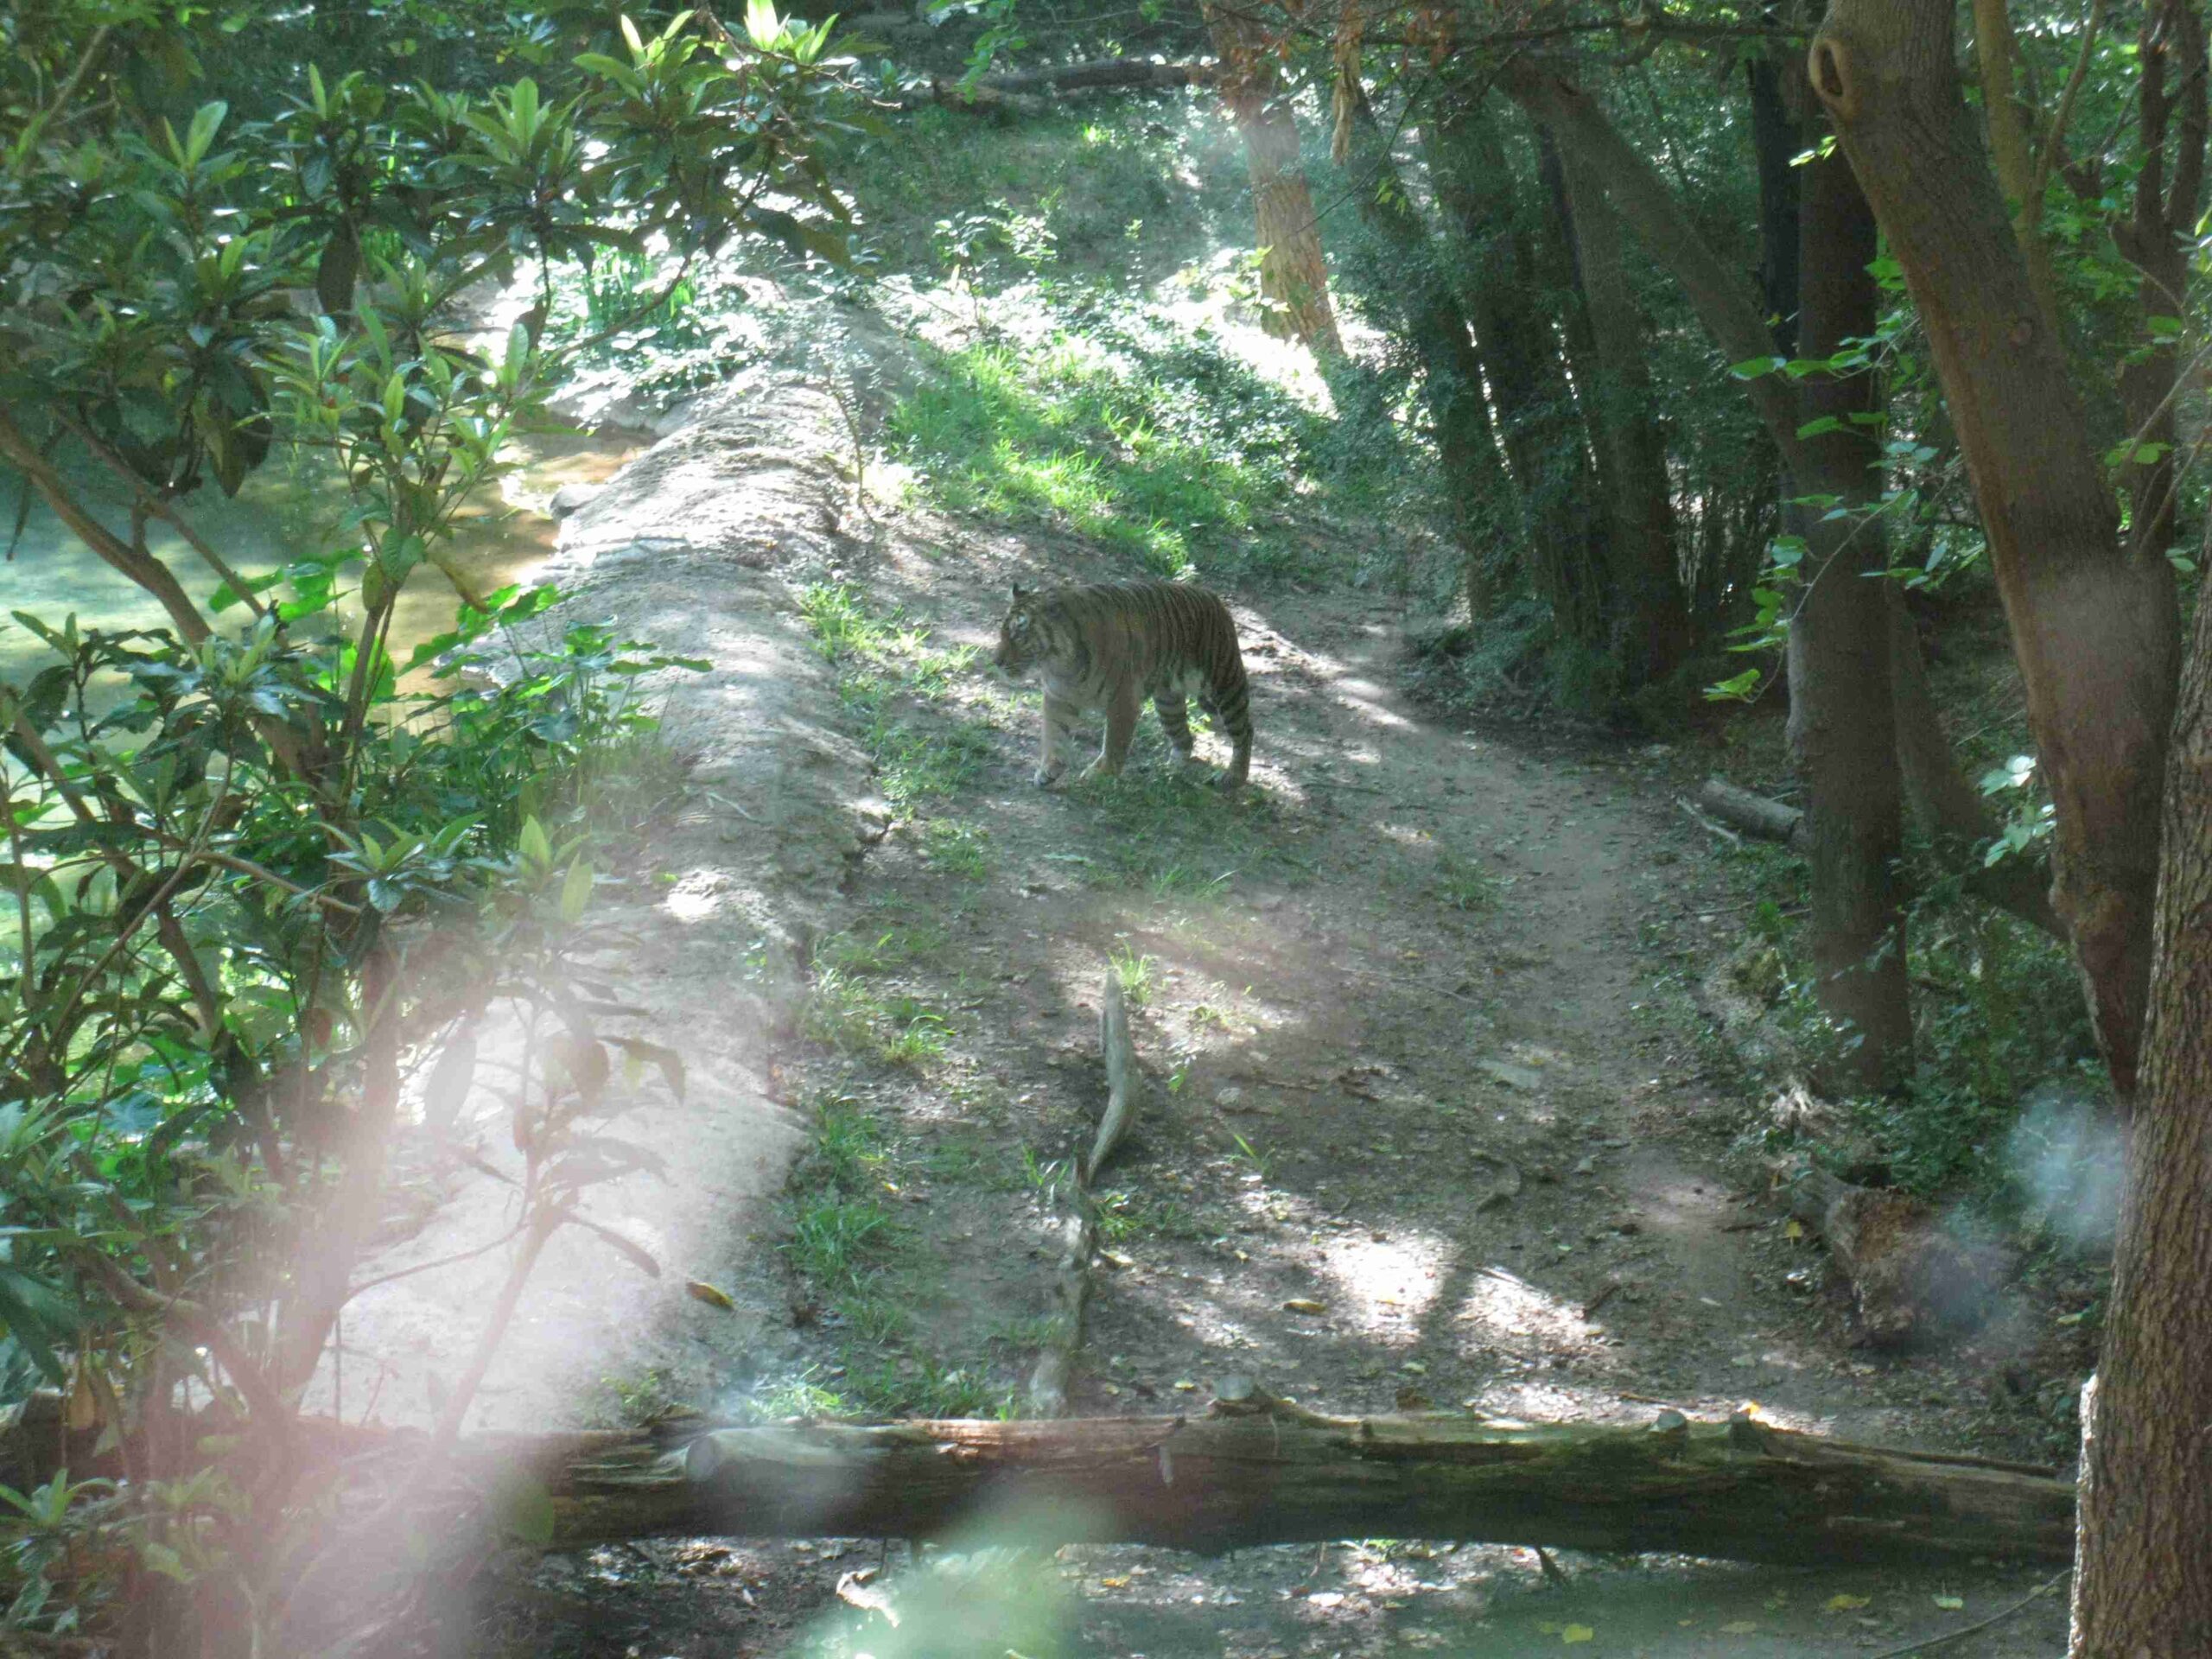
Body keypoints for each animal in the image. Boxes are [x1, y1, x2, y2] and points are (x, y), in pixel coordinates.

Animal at [995, 579, 1256, 796]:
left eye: (1018, 635)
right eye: (1002, 633)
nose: (996, 661)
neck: (1059, 662)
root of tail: (1212, 596)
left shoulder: (1122, 700)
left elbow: (1114, 743)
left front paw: (1101, 776)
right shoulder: (1058, 698)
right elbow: (1054, 736)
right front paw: (1048, 772)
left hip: (1225, 684)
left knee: (1245, 731)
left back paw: (1233, 778)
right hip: (1168, 702)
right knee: (1184, 737)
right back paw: (1168, 773)